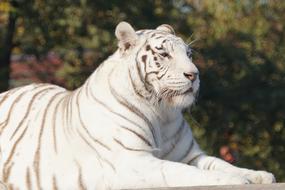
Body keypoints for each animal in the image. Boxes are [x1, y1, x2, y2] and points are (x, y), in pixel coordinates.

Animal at [0, 21, 276, 189]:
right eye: (164, 54)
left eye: (188, 54)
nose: (194, 75)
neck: (162, 112)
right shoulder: (134, 161)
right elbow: (187, 173)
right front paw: (235, 179)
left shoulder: (190, 155)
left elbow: (222, 163)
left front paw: (258, 174)